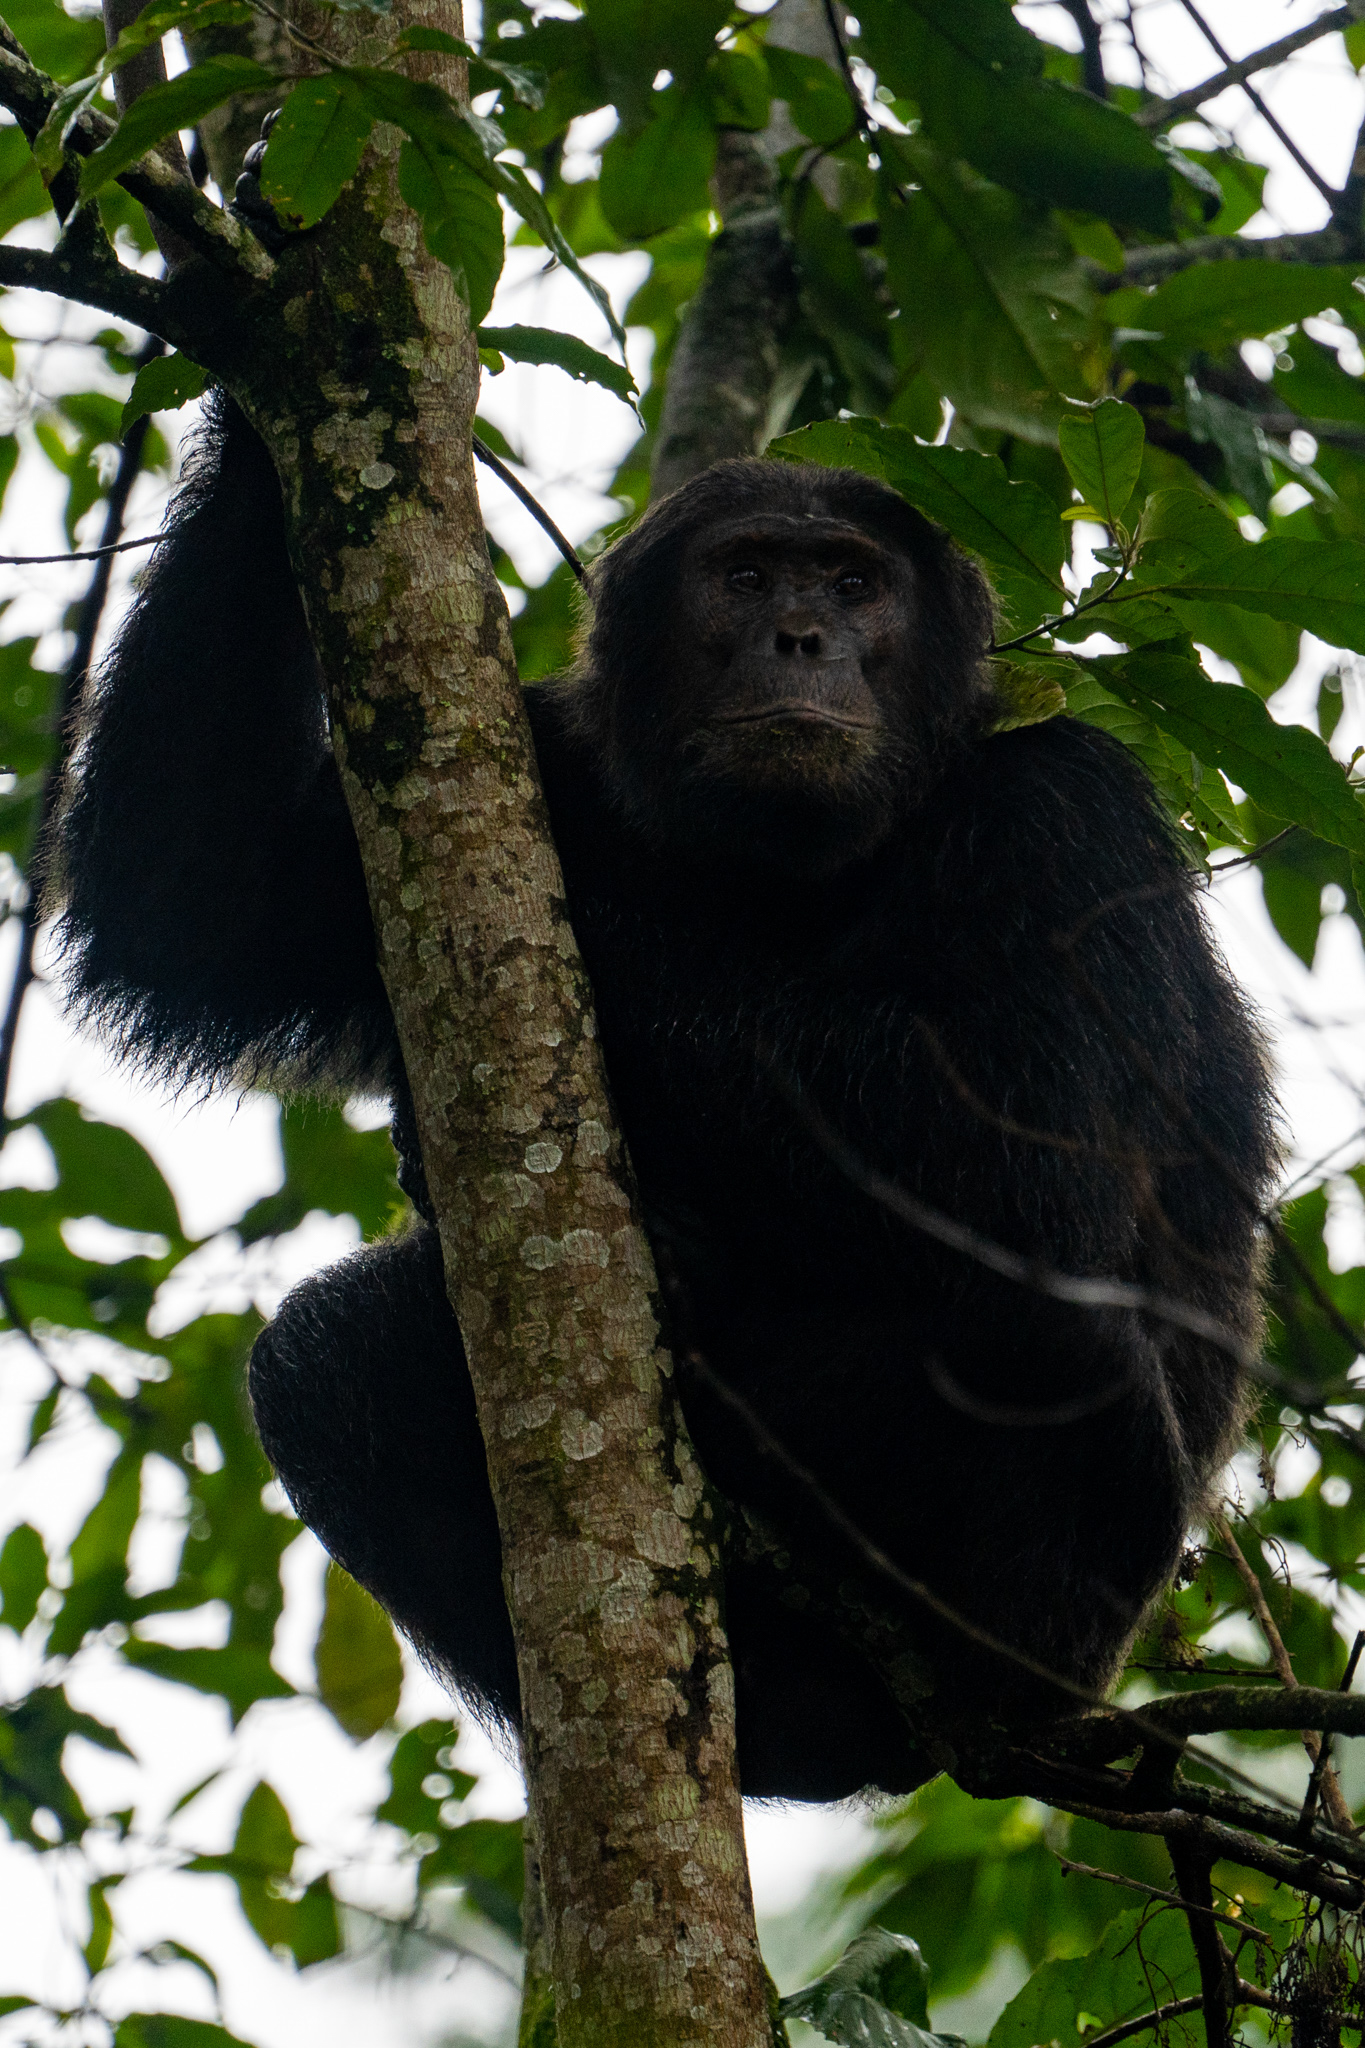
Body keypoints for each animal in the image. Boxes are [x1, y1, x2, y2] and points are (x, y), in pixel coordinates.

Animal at [45, 391, 1285, 1802]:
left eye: (853, 583)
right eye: (744, 576)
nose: (801, 636)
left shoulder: (1072, 816)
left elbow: (1032, 1147)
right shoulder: (530, 752)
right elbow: (202, 901)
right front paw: (275, 389)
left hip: (1061, 1613)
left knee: (1051, 1331)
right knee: (328, 1351)